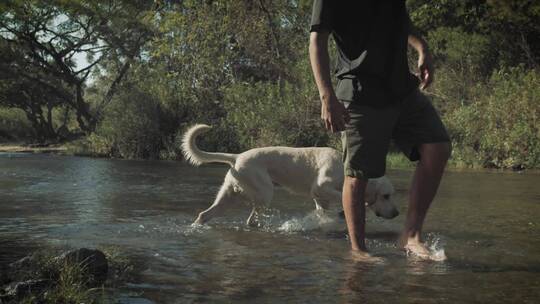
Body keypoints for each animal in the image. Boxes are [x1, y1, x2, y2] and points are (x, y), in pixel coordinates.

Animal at [181, 124, 396, 226]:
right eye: (386, 196)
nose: (397, 214)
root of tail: (237, 157)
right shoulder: (321, 187)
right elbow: (340, 196)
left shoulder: (320, 198)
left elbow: (323, 211)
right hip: (264, 193)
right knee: (251, 220)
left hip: (228, 196)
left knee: (204, 214)